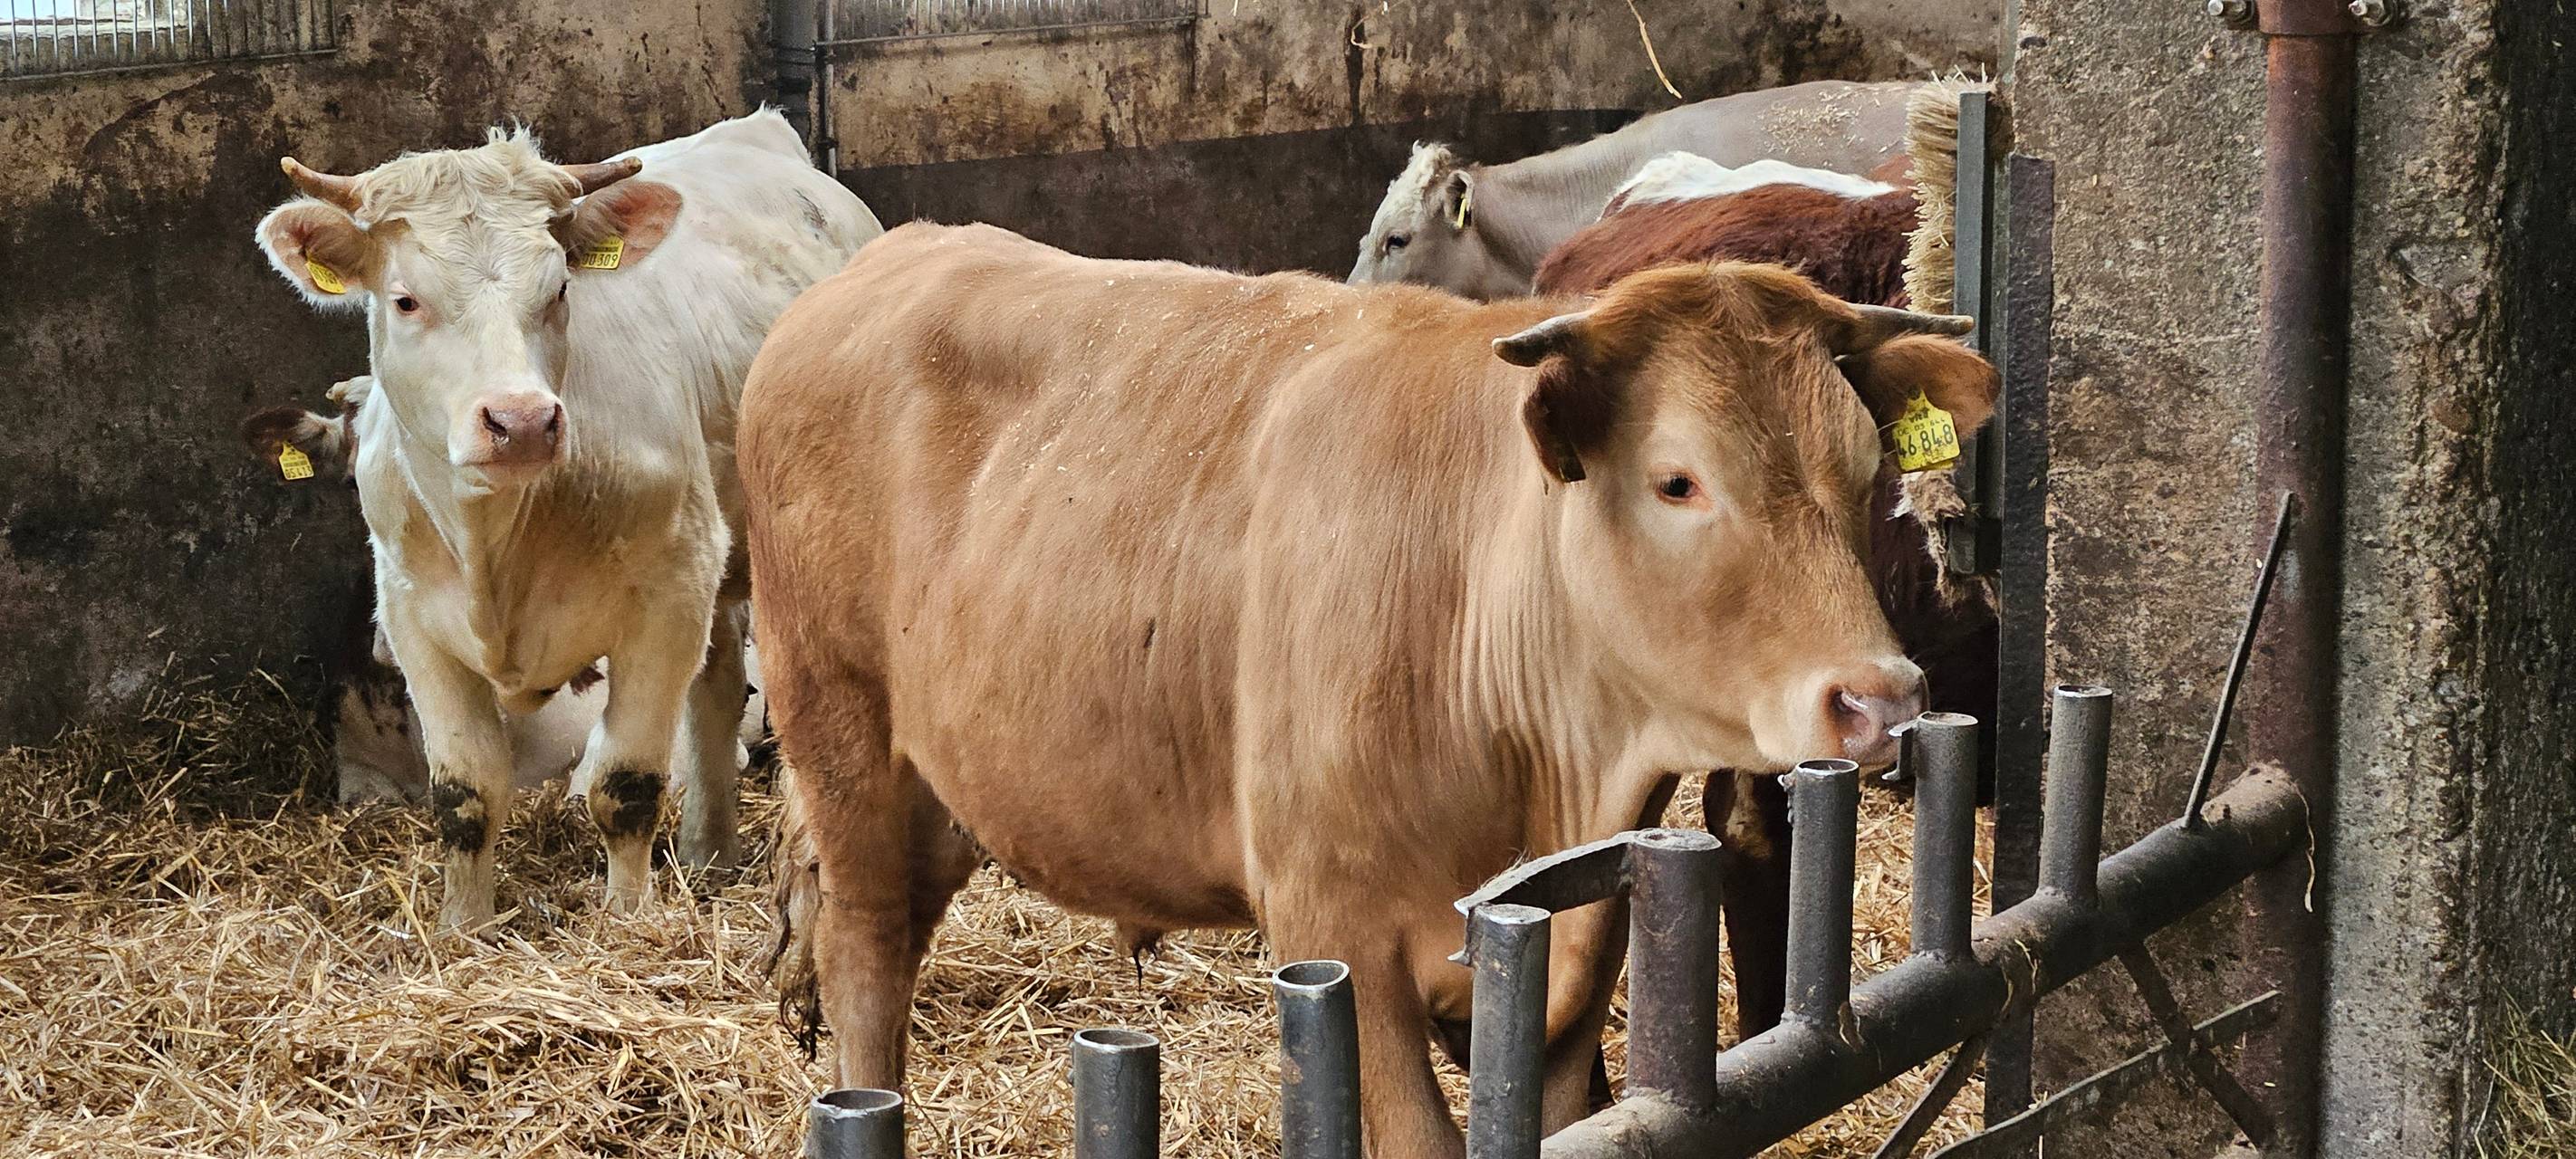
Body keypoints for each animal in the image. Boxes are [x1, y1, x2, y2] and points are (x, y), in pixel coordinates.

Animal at [251, 109, 879, 930]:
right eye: (406, 300)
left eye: (558, 290)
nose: (520, 421)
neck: (500, 544)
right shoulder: (414, 618)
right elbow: (465, 794)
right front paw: (462, 928)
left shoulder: (666, 597)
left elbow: (626, 784)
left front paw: (627, 920)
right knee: (715, 687)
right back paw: (708, 853)